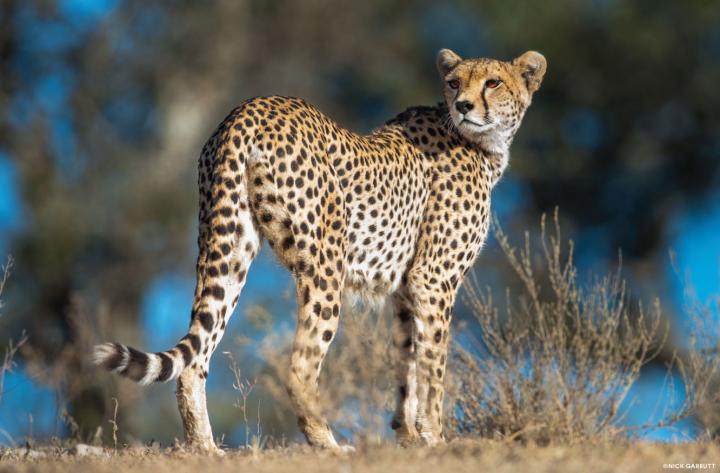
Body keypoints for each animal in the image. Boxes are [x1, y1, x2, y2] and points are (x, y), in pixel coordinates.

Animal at [92, 48, 546, 452]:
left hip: (228, 245)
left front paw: (408, 436)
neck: (477, 141)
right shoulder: (433, 281)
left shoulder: (405, 290)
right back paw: (328, 444)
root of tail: (250, 108)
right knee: (299, 367)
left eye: (493, 82)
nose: (464, 105)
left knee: (195, 360)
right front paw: (436, 438)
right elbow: (433, 367)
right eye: (454, 82)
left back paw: (206, 448)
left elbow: (407, 366)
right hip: (325, 265)